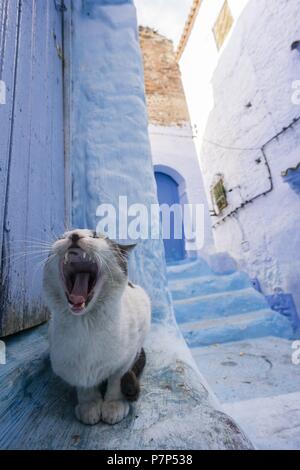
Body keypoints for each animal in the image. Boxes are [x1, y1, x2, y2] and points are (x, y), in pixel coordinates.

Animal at [42, 229, 150, 426]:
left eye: (95, 236)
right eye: (62, 237)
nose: (74, 234)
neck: (85, 326)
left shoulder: (126, 359)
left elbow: (116, 380)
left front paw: (113, 404)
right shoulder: (72, 367)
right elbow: (85, 385)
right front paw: (90, 404)